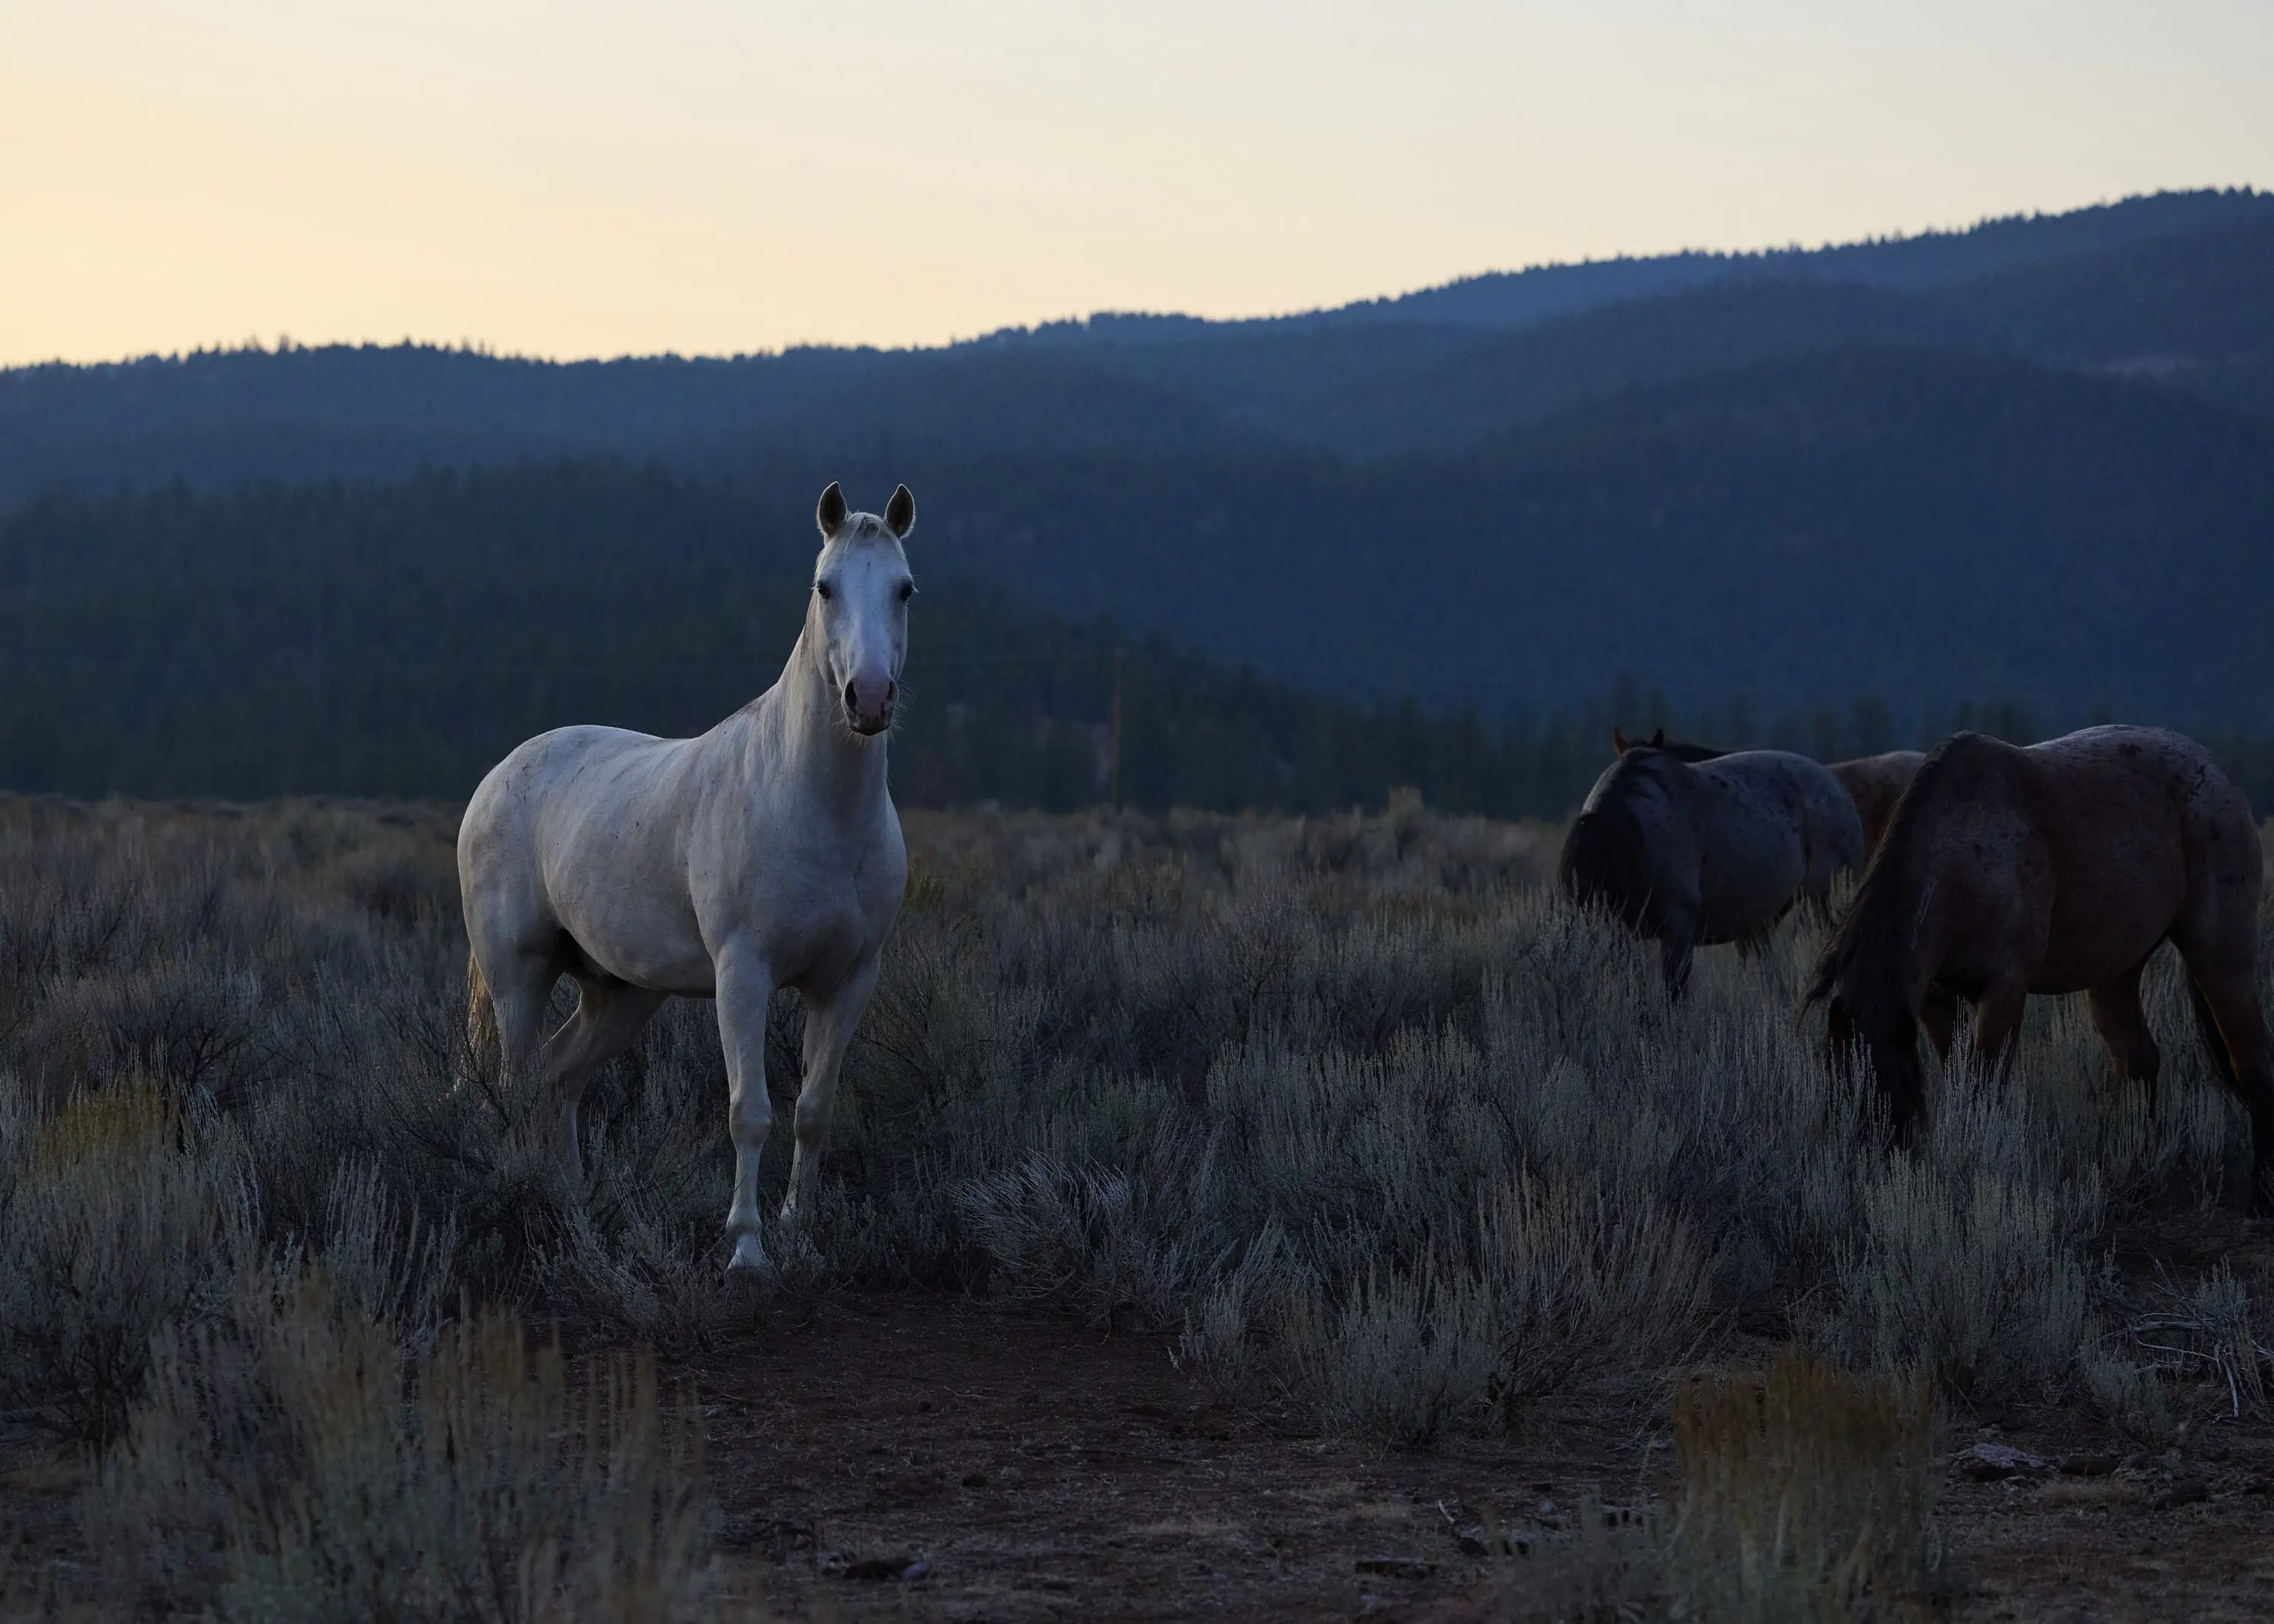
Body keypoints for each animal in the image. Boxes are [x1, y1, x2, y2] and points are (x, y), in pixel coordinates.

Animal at [458, 481, 917, 1283]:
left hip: (620, 993)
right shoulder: (744, 973)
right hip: (519, 979)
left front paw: (800, 1230)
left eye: (905, 587)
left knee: (559, 1080)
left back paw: (574, 1210)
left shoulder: (850, 980)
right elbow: (749, 1111)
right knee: (511, 1089)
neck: (815, 804)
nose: (867, 698)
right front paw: (746, 1249)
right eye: (824, 587)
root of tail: (497, 777)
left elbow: (815, 1109)